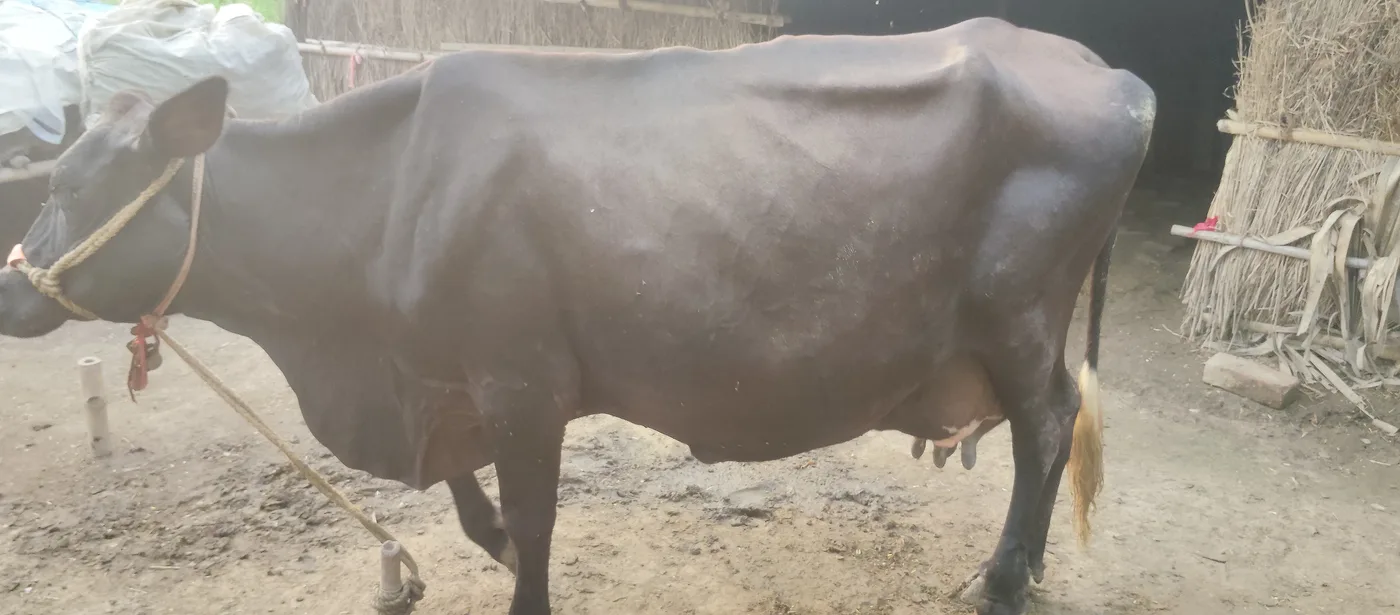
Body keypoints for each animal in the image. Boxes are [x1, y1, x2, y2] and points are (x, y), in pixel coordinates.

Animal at [0, 17, 1154, 615]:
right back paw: (1022, 565)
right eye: (54, 180)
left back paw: (1002, 578)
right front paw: (489, 548)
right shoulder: (446, 374)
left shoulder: (524, 379)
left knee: (1046, 426)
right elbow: (472, 502)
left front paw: (523, 576)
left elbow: (535, 515)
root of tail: (1111, 74)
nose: (12, 285)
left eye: (83, 187)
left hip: (1015, 315)